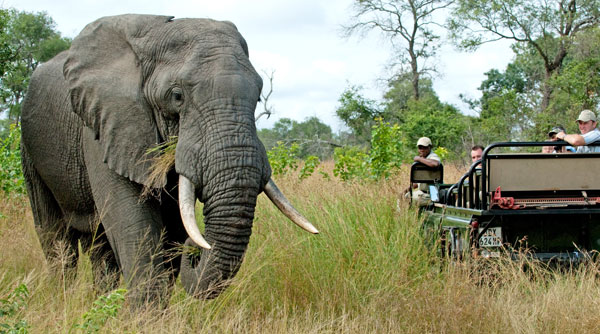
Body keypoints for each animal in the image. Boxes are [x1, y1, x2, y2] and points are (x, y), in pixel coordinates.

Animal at [20, 14, 316, 304]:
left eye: (258, 96)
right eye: (177, 96)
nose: (196, 250)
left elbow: (173, 229)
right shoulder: (105, 128)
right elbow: (133, 226)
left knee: (99, 246)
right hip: (29, 148)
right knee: (55, 237)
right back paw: (63, 301)